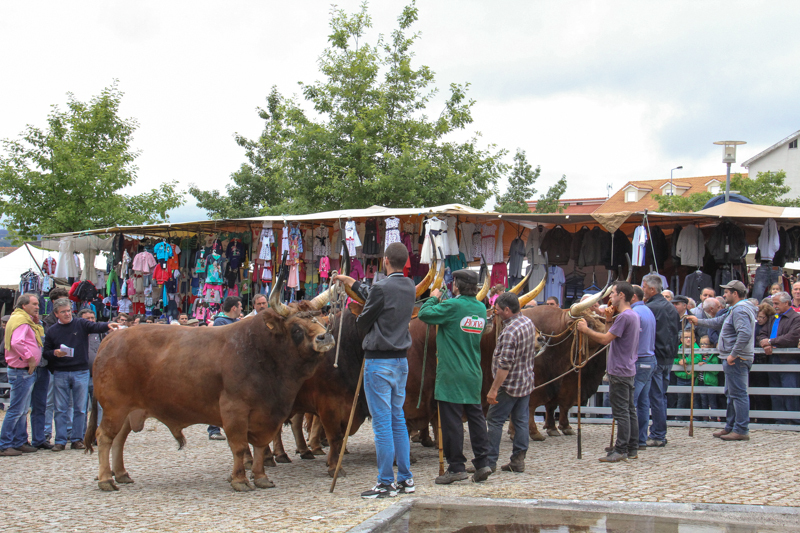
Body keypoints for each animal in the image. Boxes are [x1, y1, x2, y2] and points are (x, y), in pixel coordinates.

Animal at [86, 274, 336, 490]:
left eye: (317, 318)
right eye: (296, 327)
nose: (325, 337)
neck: (261, 352)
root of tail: (113, 336)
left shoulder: (268, 413)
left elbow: (259, 445)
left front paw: (261, 477)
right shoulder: (234, 410)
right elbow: (239, 446)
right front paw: (239, 480)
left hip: (129, 410)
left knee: (119, 439)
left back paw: (121, 474)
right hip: (114, 407)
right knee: (105, 437)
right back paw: (106, 479)